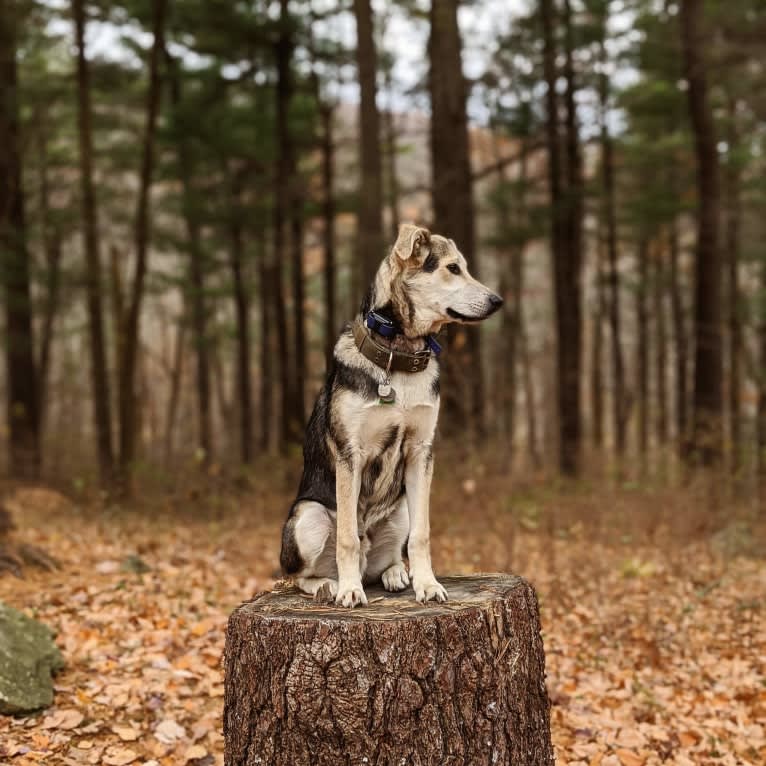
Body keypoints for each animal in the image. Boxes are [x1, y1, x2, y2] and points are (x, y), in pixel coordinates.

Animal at [280, 225, 504, 608]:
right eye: (452, 268)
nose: (497, 301)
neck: (398, 358)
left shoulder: (421, 451)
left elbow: (422, 535)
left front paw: (426, 584)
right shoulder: (349, 454)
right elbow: (347, 538)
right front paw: (350, 590)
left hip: (399, 510)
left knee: (385, 560)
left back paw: (395, 573)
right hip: (307, 516)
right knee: (301, 575)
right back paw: (329, 585)